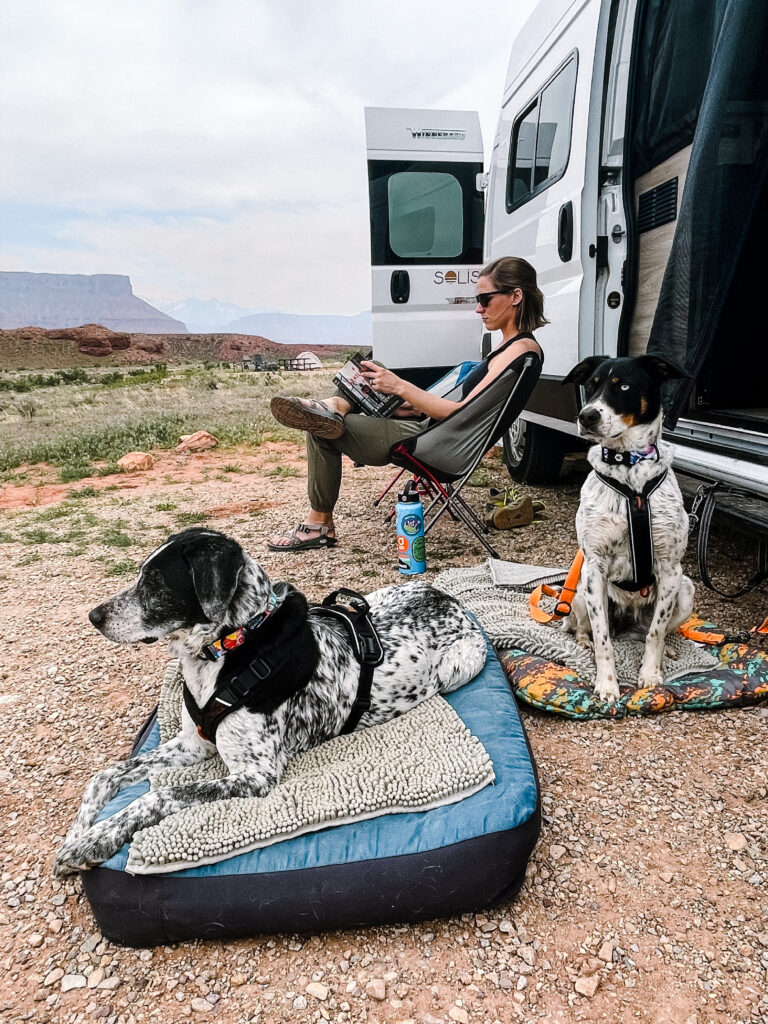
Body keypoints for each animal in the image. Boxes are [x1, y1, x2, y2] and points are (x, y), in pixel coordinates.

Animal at [52, 532, 487, 876]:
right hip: (370, 597)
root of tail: (447, 596)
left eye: (156, 581)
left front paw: (94, 841)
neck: (232, 645)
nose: (93, 616)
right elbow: (105, 775)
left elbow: (159, 795)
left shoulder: (256, 775)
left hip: (455, 669)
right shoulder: (193, 744)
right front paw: (78, 833)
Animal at [561, 354, 696, 704]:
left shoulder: (671, 569)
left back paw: (668, 652)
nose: (586, 416)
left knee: (652, 631)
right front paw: (607, 684)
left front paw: (650, 673)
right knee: (583, 628)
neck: (629, 469)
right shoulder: (594, 567)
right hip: (580, 592)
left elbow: (656, 632)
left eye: (623, 386)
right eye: (590, 385)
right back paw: (584, 641)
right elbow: (603, 640)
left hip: (685, 591)